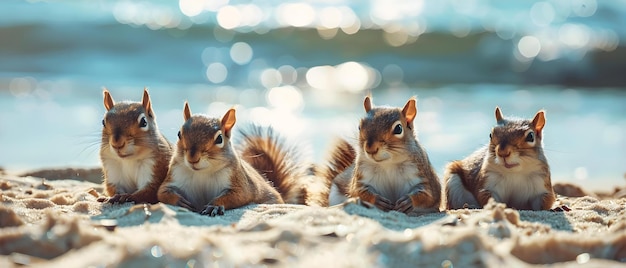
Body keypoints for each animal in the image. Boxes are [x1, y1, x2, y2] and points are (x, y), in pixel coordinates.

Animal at [156, 101, 286, 217]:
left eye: (219, 138)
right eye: (179, 134)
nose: (193, 158)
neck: (202, 172)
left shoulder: (239, 182)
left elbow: (239, 195)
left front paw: (214, 206)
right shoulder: (175, 175)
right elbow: (162, 192)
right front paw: (180, 201)